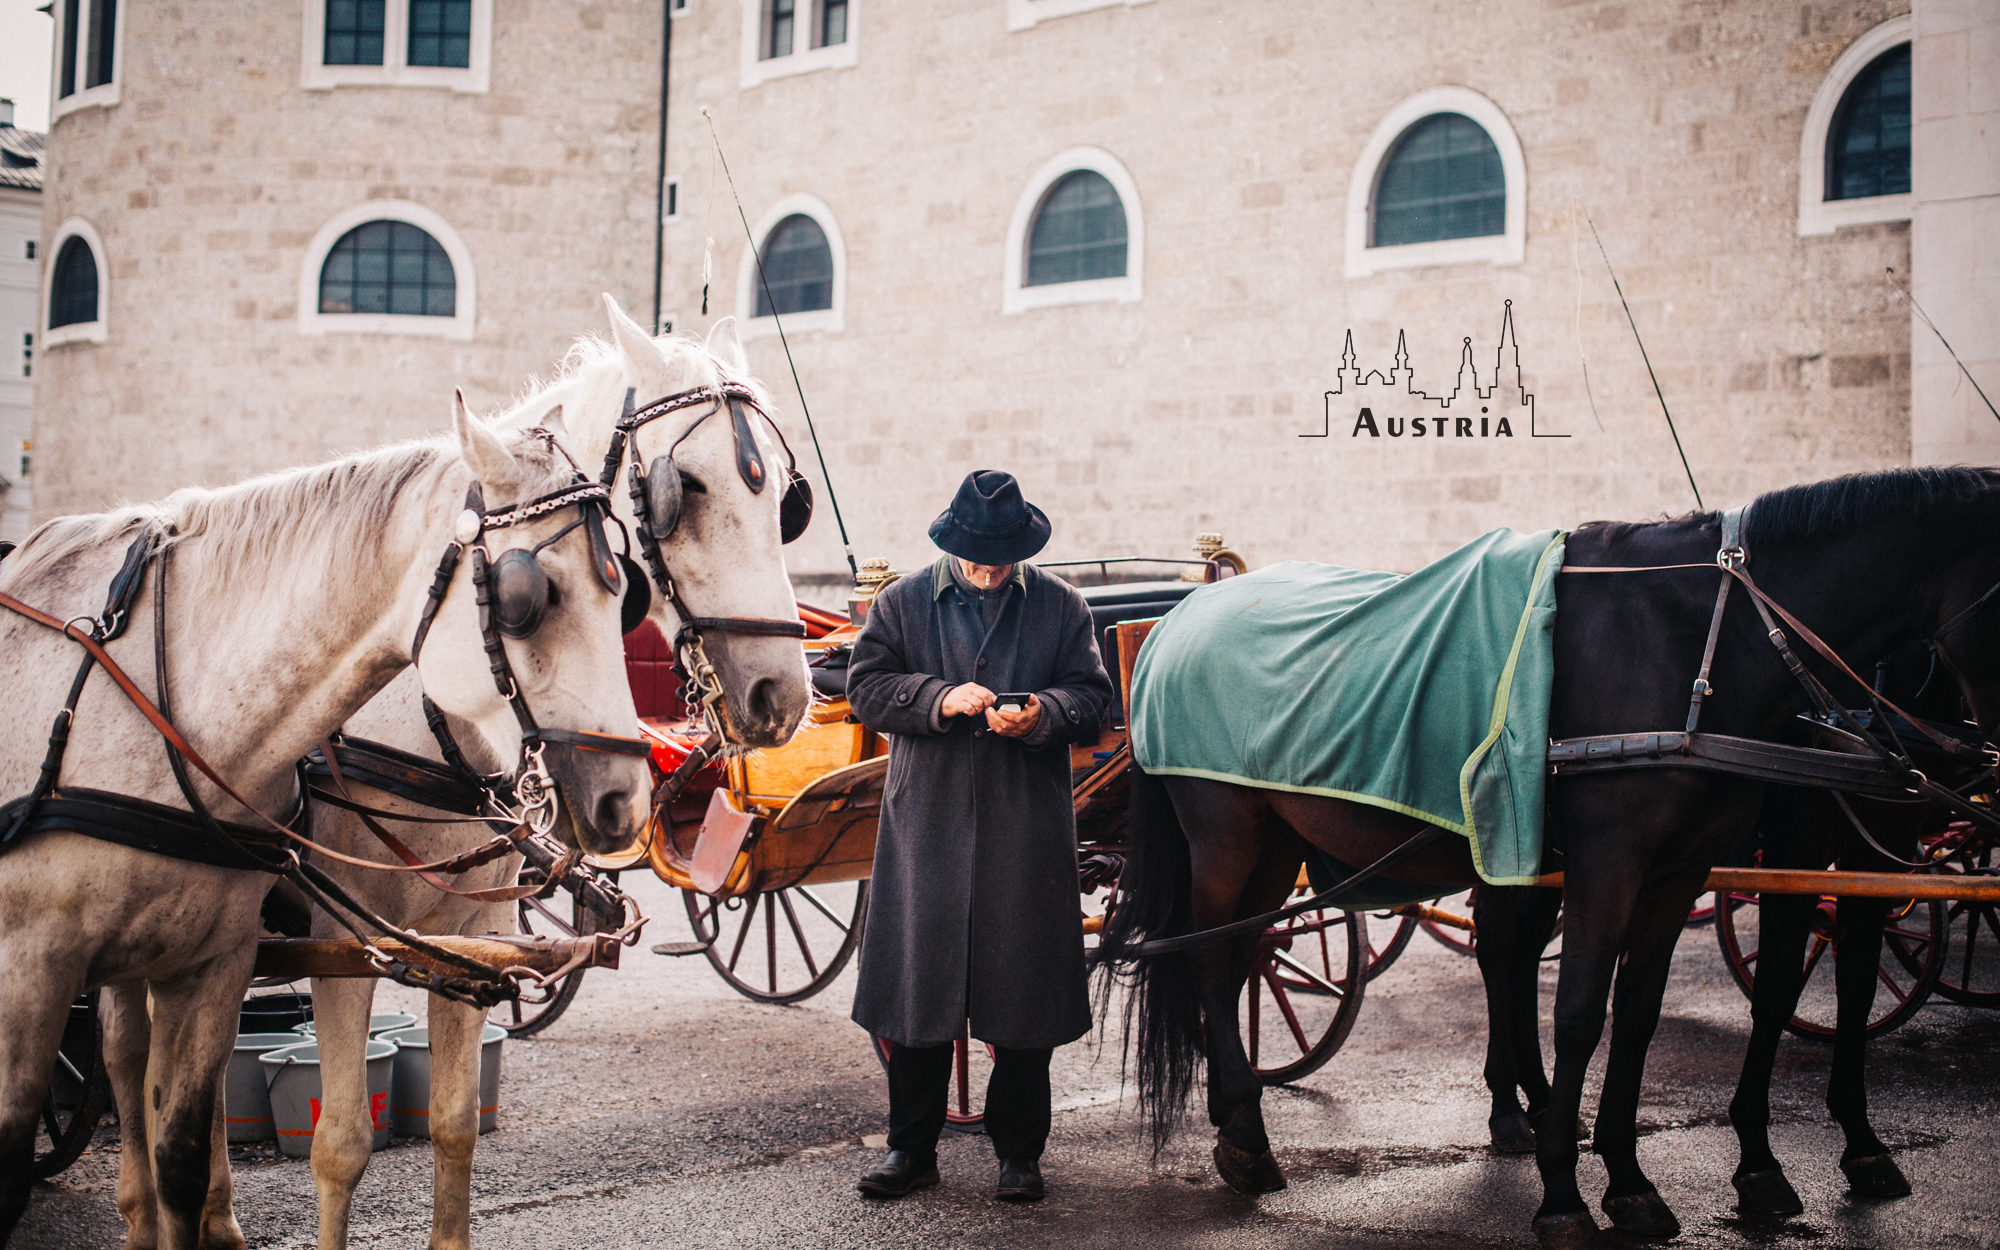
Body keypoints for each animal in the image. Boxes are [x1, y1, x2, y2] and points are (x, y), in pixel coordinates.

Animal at [162, 300, 812, 1248]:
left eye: (785, 501)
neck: (428, 712)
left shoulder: (474, 932)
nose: (782, 694)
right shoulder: (343, 942)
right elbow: (341, 1142)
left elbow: (456, 1125)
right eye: (684, 488)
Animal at [1096, 468, 2000, 1248]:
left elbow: (1641, 1012)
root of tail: (1180, 616)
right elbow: (1582, 1011)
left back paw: (1251, 1113)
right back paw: (1251, 1136)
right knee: (1212, 959)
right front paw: (1570, 1194)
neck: (1702, 640)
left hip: (1282, 838)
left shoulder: (1685, 871)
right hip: (1227, 833)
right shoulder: (1628, 860)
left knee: (1264, 954)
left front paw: (1633, 1181)